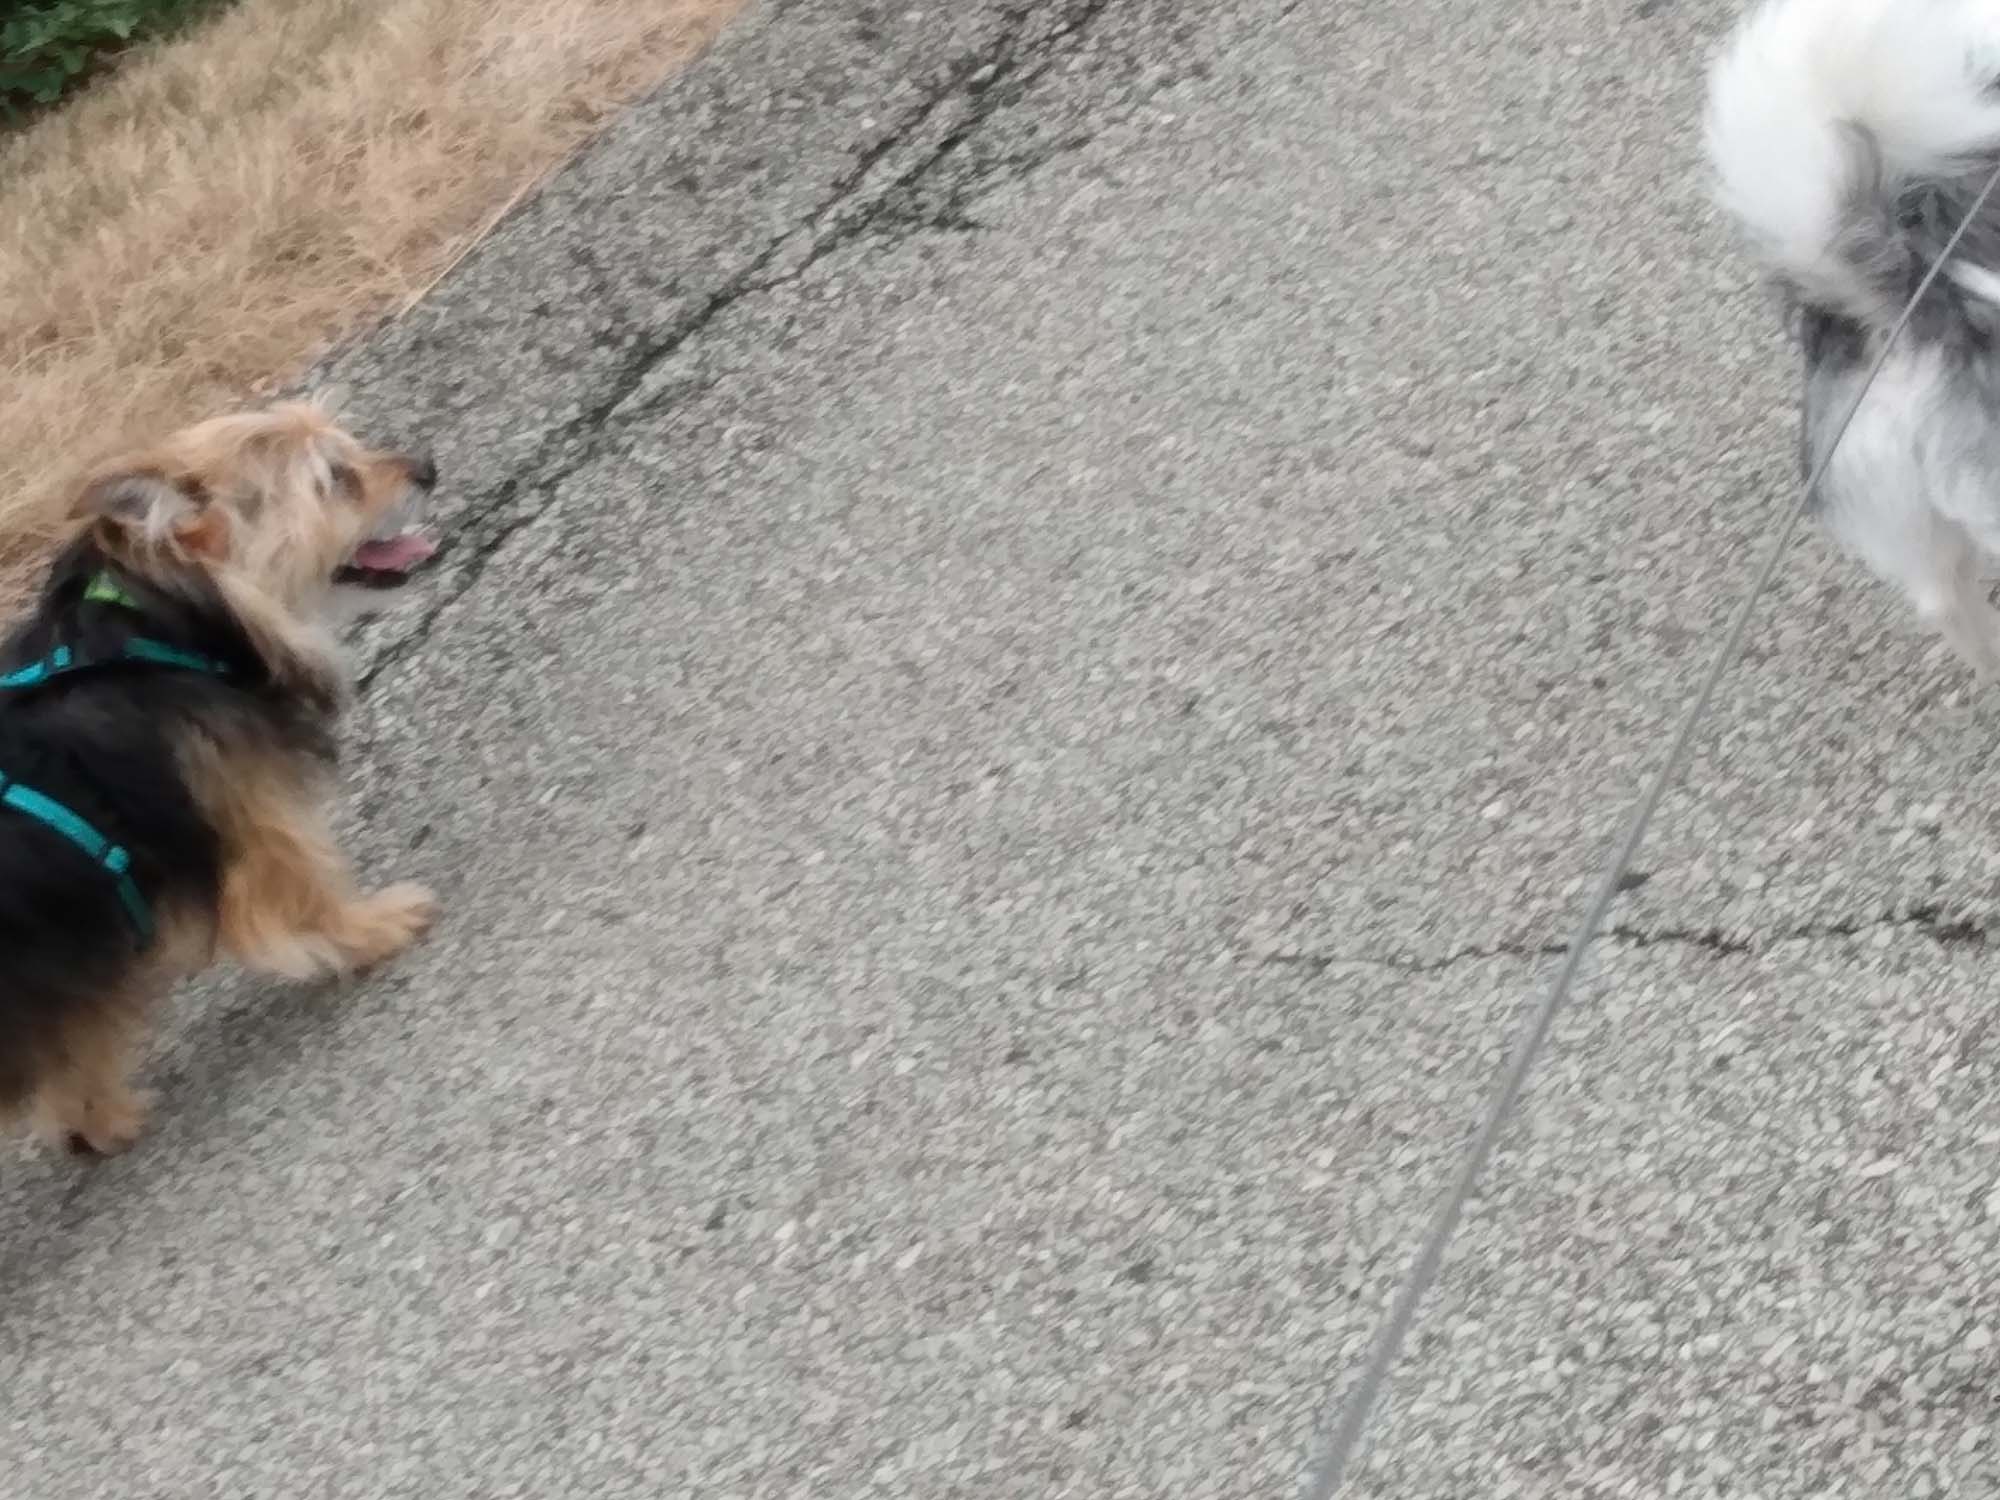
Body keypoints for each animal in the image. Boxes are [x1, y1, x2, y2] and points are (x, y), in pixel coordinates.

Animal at [0, 398, 439, 1156]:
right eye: (335, 479)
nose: (428, 467)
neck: (171, 630)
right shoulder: (252, 819)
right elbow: (308, 888)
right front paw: (375, 926)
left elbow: (74, 1047)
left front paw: (95, 1120)